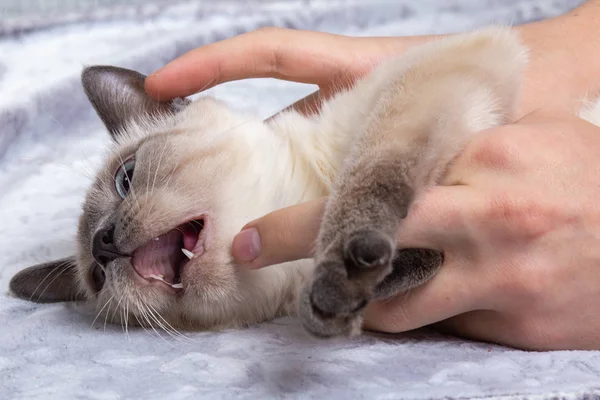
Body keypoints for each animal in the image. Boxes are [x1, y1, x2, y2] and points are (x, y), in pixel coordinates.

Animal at [8, 27, 600, 338]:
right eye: (95, 277)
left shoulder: (454, 69)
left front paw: (347, 267)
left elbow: (371, 173)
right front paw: (347, 290)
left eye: (126, 178)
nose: (104, 243)